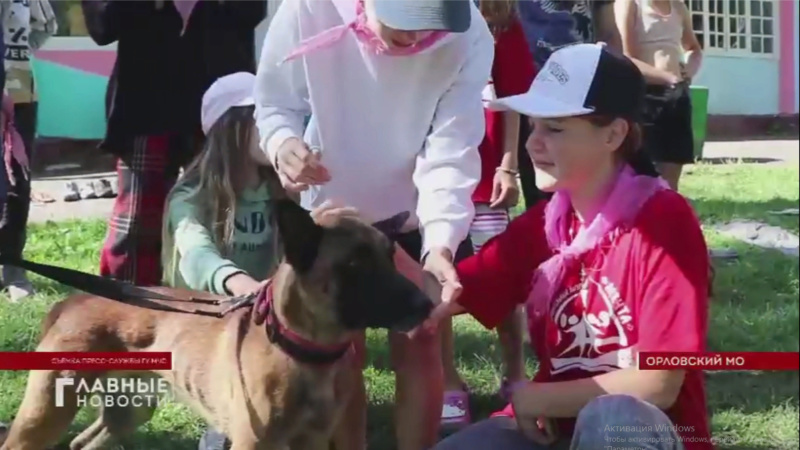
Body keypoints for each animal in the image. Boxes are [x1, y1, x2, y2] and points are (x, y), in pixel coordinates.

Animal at [0, 200, 434, 450]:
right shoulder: (253, 444)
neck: (305, 350)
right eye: (355, 264)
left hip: (130, 409)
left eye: (391, 257)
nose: (428, 304)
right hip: (45, 414)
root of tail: (73, 299)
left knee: (84, 442)